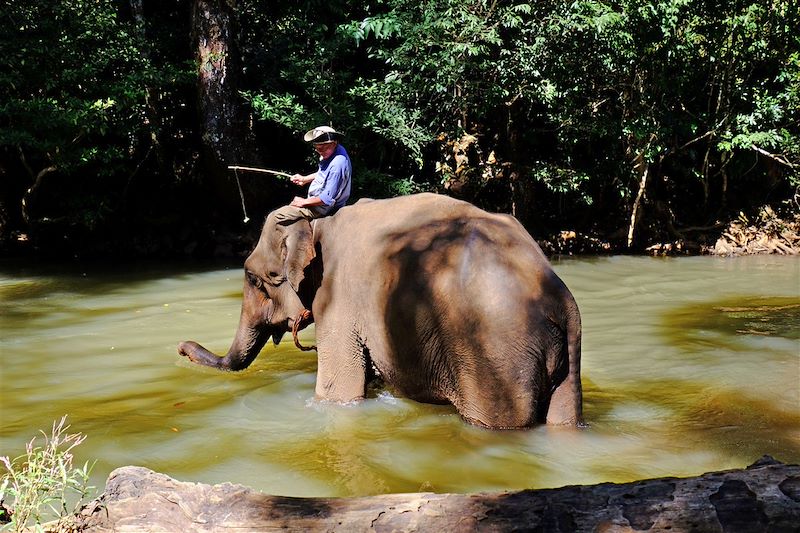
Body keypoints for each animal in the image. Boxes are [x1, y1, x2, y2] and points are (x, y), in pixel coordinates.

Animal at [180, 191, 580, 428]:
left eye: (252, 277)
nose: (182, 348)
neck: (317, 223)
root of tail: (560, 300)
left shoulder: (338, 296)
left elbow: (338, 391)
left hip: (495, 356)